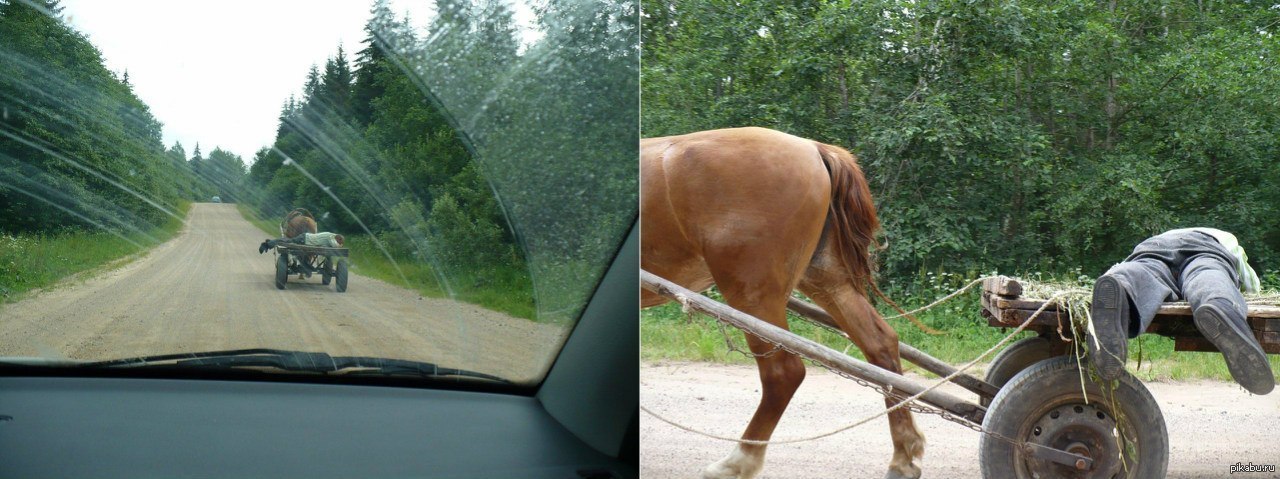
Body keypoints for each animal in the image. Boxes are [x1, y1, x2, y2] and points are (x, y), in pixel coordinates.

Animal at [645, 127, 926, 478]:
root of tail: (815, 148)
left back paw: (739, 460)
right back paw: (903, 455)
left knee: (784, 372)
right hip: (826, 279)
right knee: (881, 345)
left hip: (752, 293)